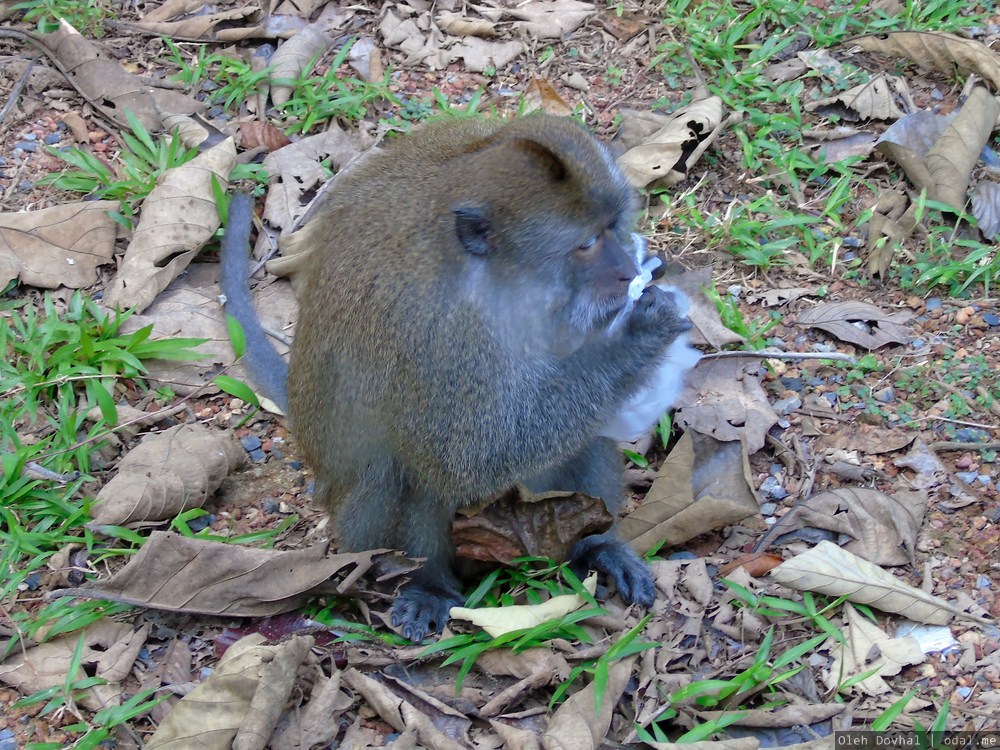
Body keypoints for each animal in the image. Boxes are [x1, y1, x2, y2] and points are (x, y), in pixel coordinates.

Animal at [223, 114, 696, 644]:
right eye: (588, 244)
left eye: (613, 226)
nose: (631, 270)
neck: (495, 280)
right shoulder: (434, 328)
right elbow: (467, 457)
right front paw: (643, 329)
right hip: (357, 524)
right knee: (405, 474)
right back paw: (428, 584)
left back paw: (595, 547)